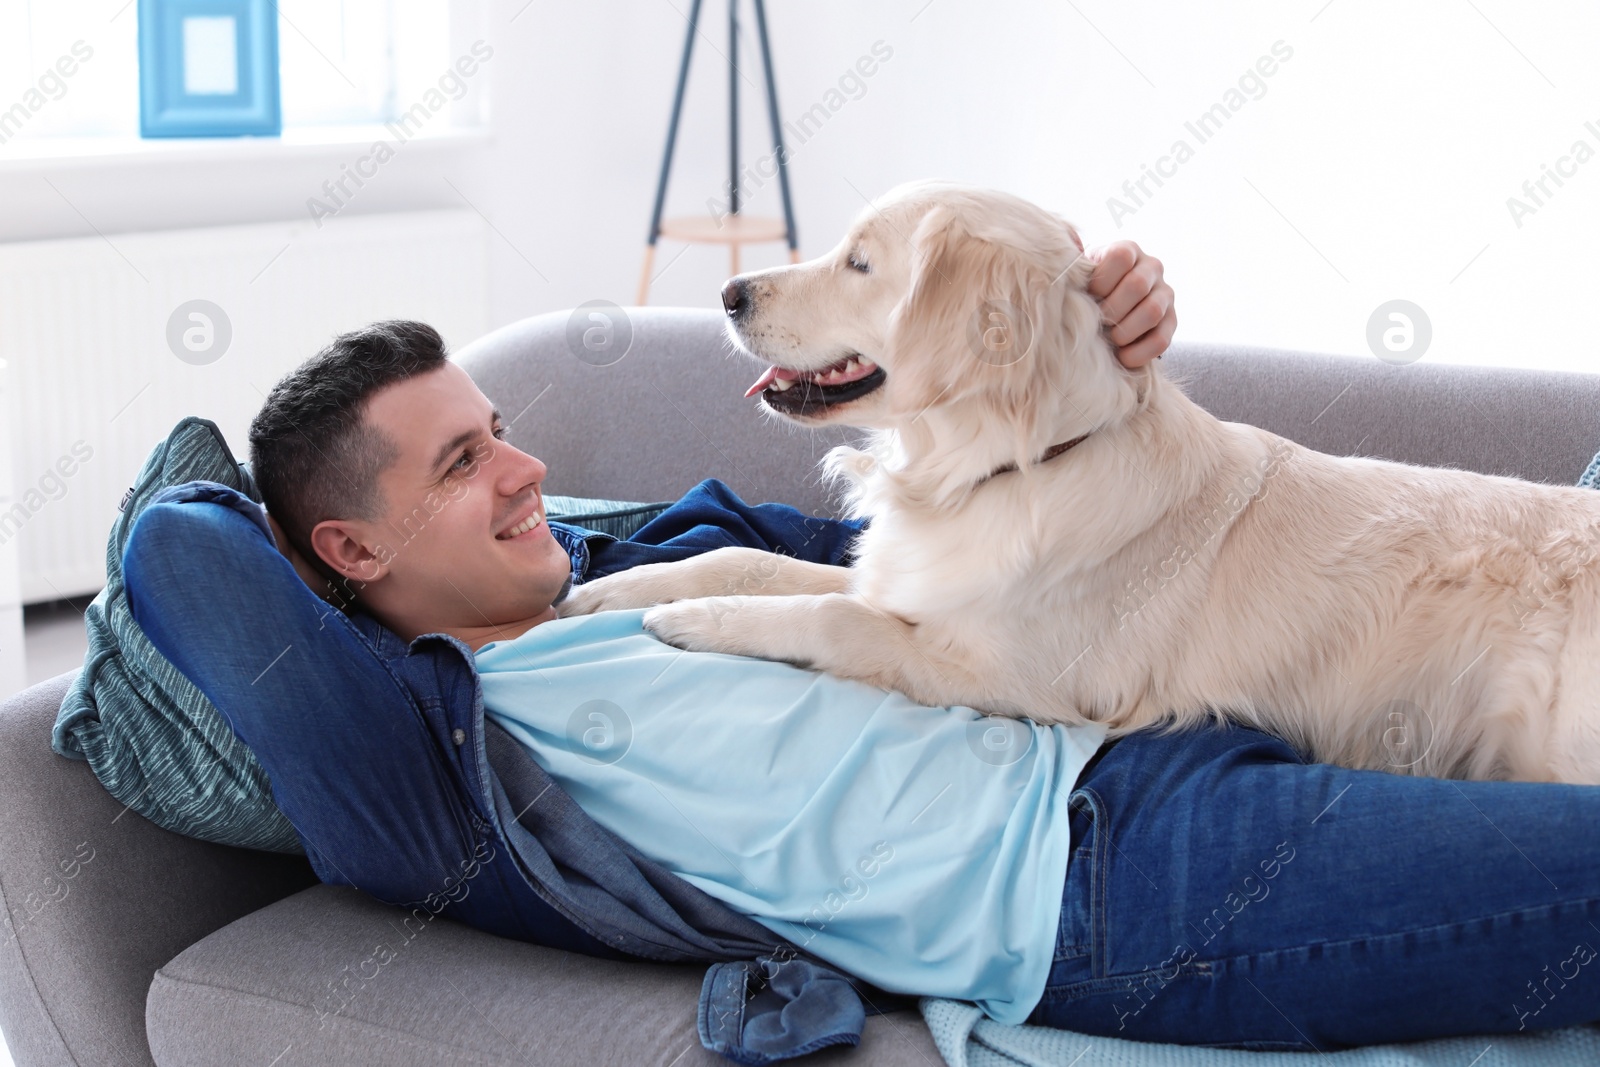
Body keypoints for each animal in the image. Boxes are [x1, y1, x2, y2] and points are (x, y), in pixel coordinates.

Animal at [563, 181, 1600, 783]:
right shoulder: (907, 581)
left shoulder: (1010, 676)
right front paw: (614, 589)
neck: (1005, 466)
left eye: (860, 262)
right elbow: (754, 558)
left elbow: (828, 617)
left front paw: (697, 621)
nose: (728, 293)